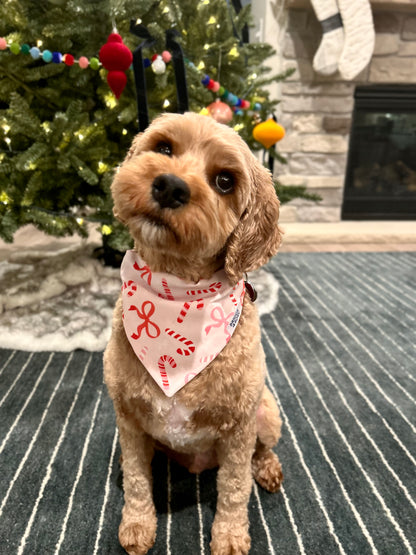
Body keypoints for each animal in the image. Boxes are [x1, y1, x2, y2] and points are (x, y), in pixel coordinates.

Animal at [103, 113, 282, 555]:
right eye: (164, 147)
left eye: (225, 181)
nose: (170, 186)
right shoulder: (128, 418)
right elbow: (138, 480)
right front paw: (137, 525)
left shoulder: (239, 427)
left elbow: (235, 487)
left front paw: (230, 537)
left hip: (266, 412)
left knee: (263, 449)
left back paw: (268, 468)